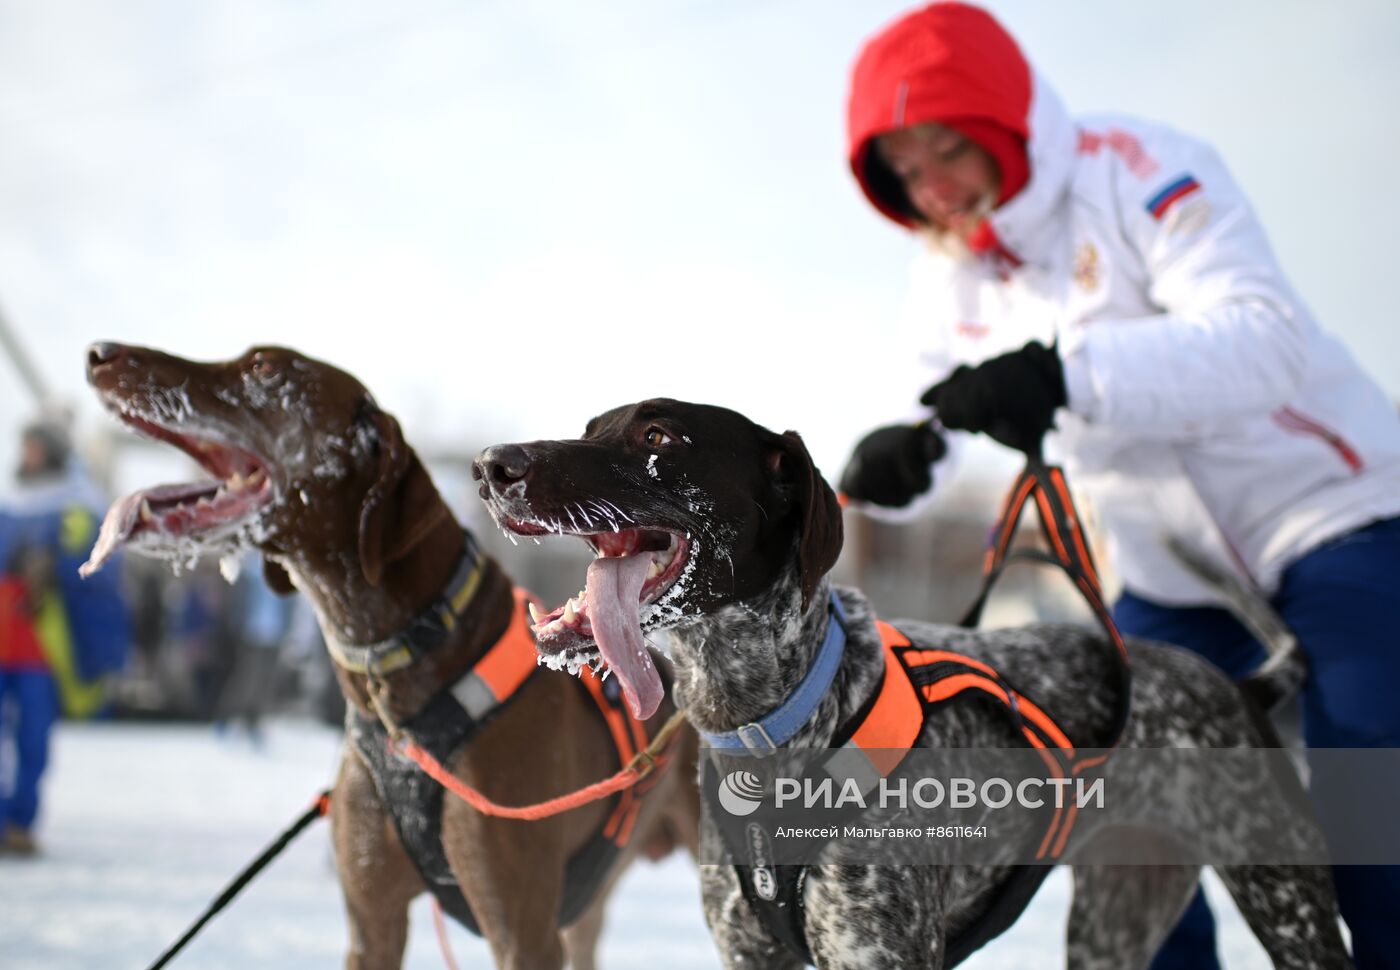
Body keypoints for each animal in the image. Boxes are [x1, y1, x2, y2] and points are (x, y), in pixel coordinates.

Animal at [476, 397, 1349, 963]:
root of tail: (1243, 686)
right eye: (589, 429)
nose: (490, 465)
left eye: (658, 434)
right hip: (1113, 927)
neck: (771, 722)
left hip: (1291, 906)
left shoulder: (882, 952)